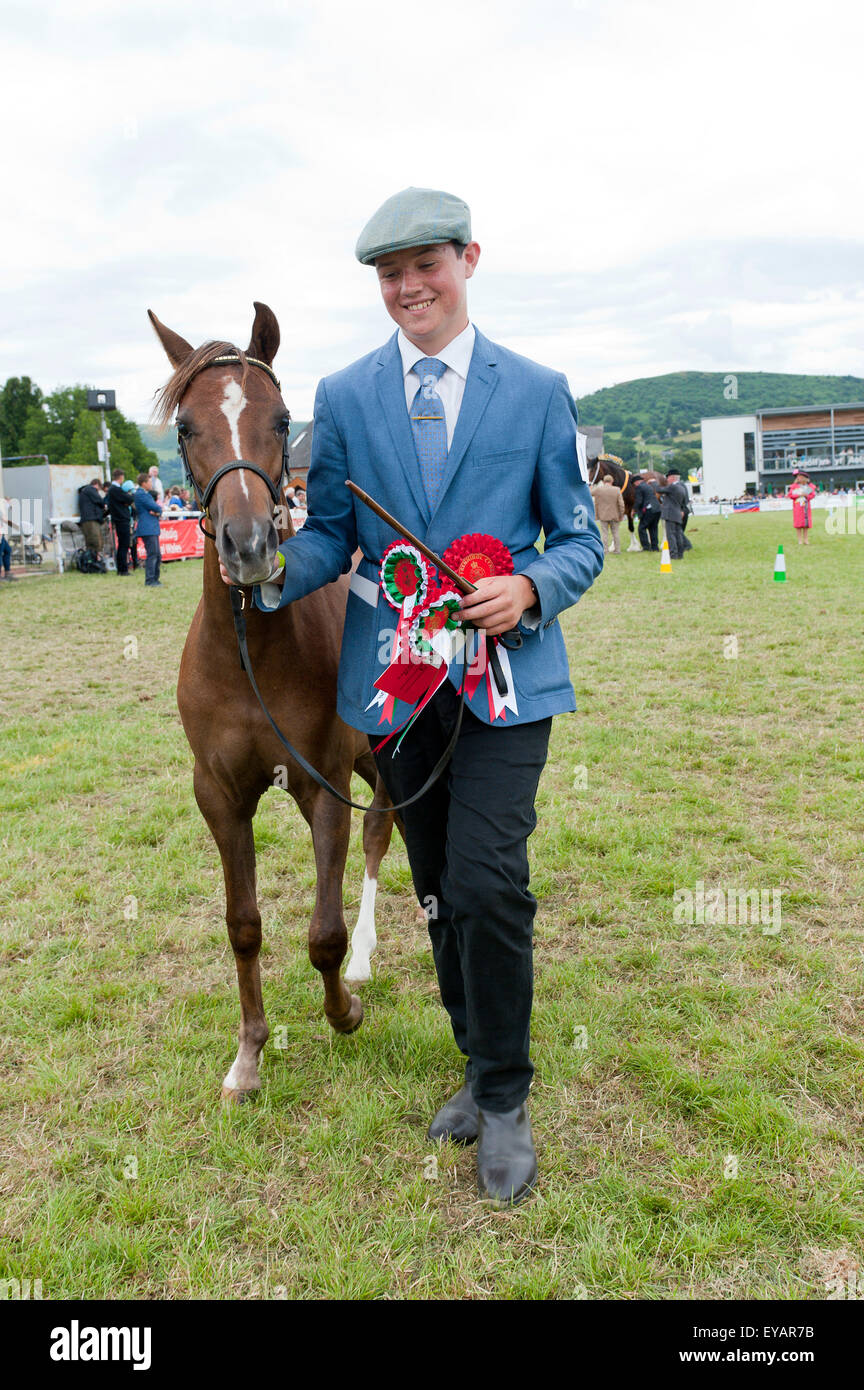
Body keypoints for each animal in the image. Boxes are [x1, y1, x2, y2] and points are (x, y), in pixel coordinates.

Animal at [149, 302, 398, 1103]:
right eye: (186, 427)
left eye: (283, 418)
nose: (250, 544)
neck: (248, 652)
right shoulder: (220, 795)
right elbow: (243, 925)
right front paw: (249, 1056)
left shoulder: (321, 788)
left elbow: (323, 933)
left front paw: (343, 1011)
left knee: (383, 830)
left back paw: (366, 959)